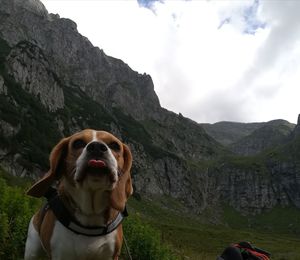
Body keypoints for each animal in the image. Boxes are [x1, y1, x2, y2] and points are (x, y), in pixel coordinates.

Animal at [25, 129, 133, 258]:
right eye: (78, 143)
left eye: (115, 145)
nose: (97, 147)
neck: (91, 213)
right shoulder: (59, 254)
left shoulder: (111, 255)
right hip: (32, 250)